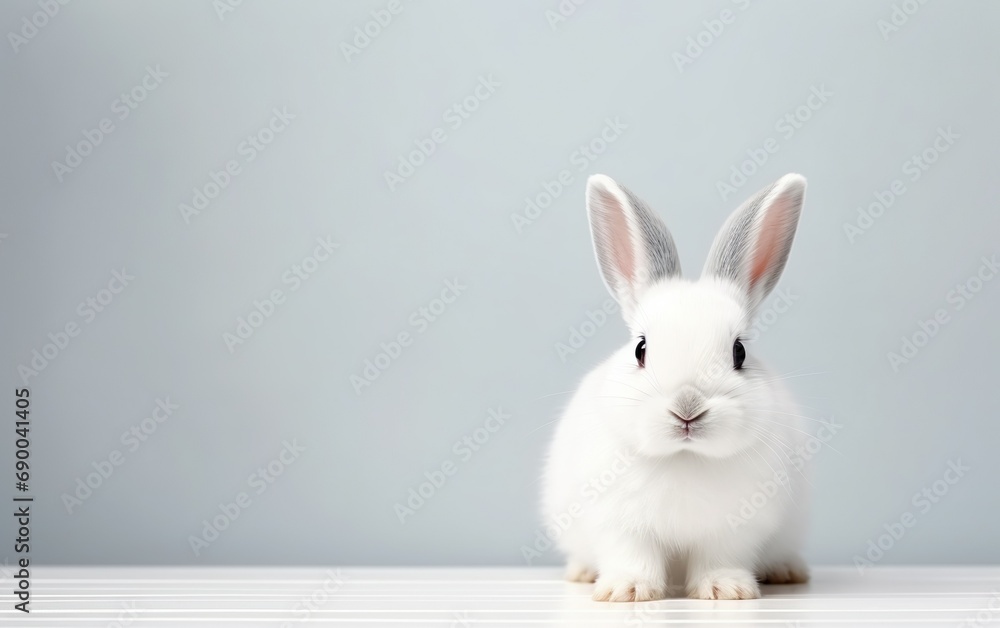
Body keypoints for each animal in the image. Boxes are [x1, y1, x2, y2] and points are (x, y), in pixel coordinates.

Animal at [541, 172, 811, 601]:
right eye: (641, 348)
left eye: (739, 352)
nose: (687, 407)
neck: (684, 457)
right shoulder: (620, 525)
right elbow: (633, 557)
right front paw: (625, 591)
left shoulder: (733, 530)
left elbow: (719, 558)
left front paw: (726, 590)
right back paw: (582, 574)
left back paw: (786, 571)